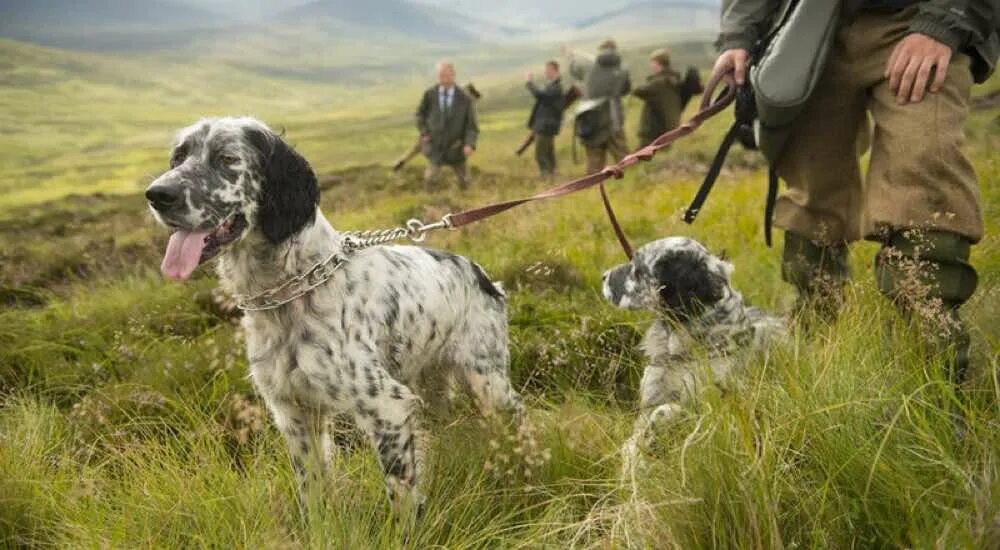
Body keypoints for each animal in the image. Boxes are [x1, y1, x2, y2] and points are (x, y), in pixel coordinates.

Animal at [596, 237, 784, 474]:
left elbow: (665, 412)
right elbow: (634, 441)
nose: (603, 276)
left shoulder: (716, 403)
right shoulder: (651, 397)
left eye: (637, 268)